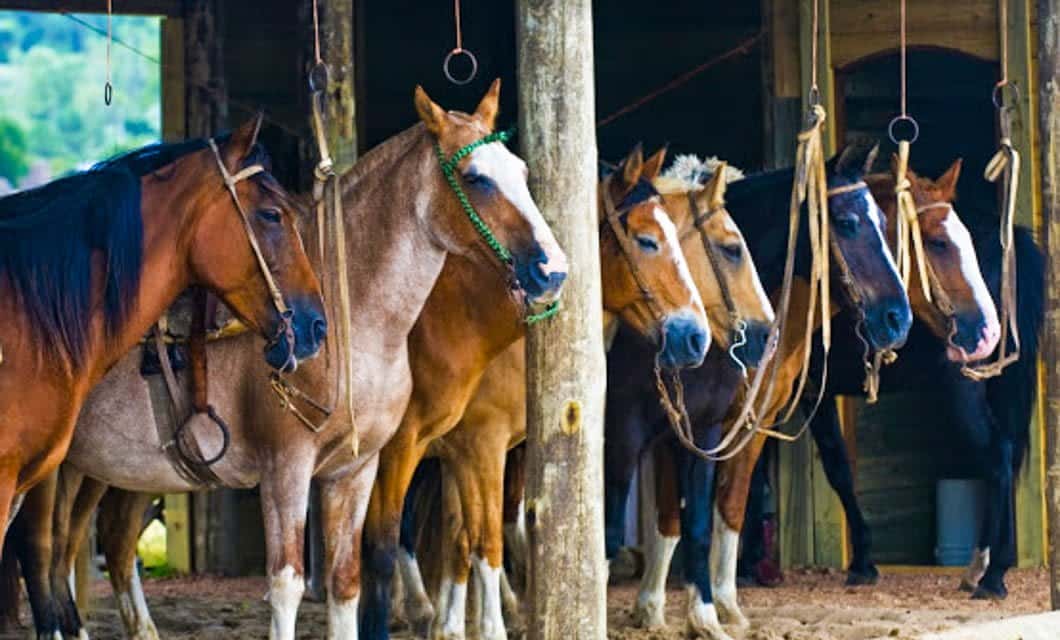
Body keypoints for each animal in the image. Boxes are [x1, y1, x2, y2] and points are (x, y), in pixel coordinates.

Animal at [1, 80, 568, 640]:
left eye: (521, 172)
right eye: (476, 178)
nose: (553, 270)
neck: (356, 324)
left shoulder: (357, 468)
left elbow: (348, 583)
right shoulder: (289, 468)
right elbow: (290, 584)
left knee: (91, 548)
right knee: (43, 554)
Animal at [400, 154, 772, 640]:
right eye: (732, 249)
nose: (766, 333)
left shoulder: (690, 434)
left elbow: (688, 525)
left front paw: (698, 616)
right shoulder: (612, 435)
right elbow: (597, 532)